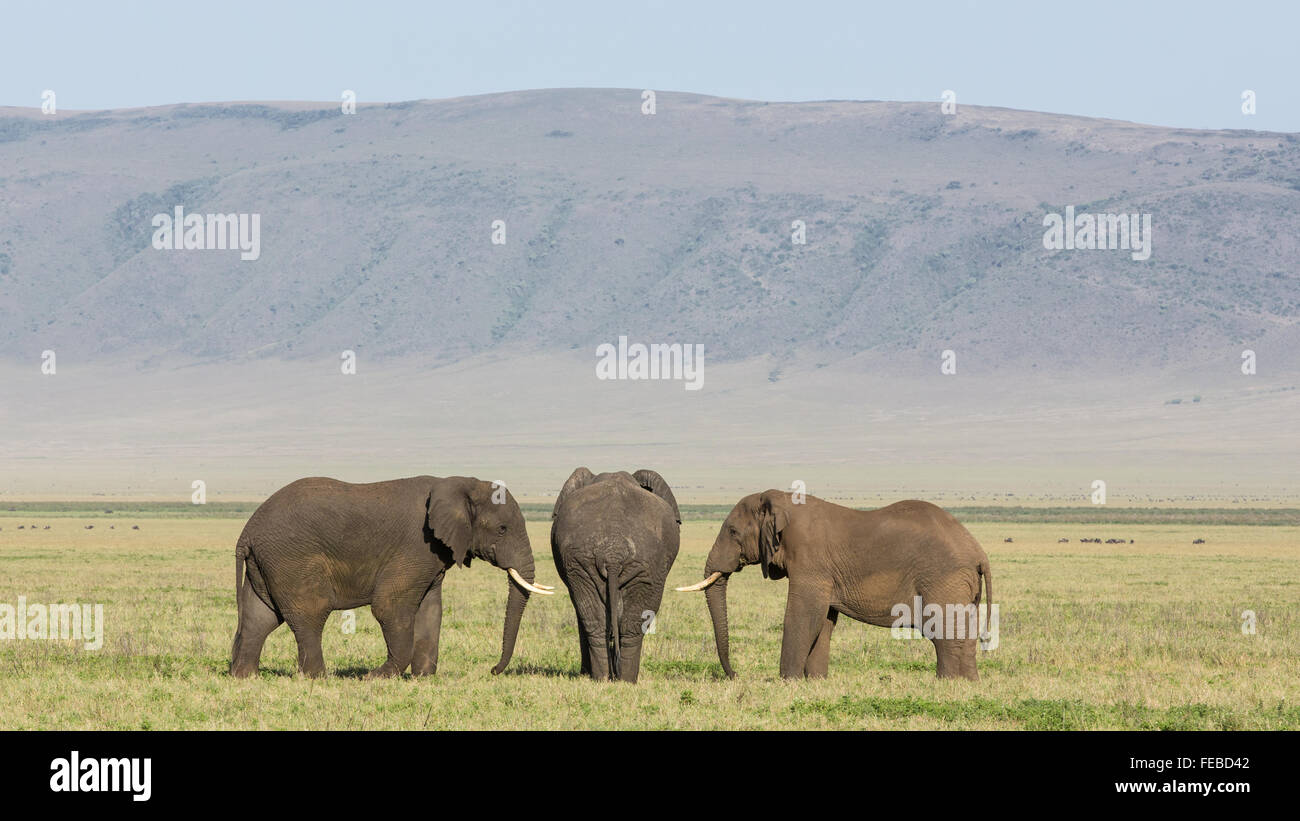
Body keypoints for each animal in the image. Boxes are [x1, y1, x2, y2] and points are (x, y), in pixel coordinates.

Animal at [230, 475, 553, 680]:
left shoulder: (432, 555)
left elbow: (431, 609)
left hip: (268, 563)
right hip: (291, 559)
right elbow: (390, 605)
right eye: (502, 529)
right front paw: (377, 678)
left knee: (260, 617)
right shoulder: (416, 544)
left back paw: (246, 676)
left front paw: (424, 677)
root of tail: (247, 531)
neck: (460, 483)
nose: (493, 670)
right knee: (309, 613)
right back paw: (319, 678)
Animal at [551, 465, 686, 680]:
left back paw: (612, 679)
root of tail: (613, 553)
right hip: (595, 564)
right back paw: (619, 679)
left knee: (606, 622)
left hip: (640, 565)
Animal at [676, 493, 987, 680]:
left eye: (732, 531)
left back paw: (946, 683)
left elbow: (803, 616)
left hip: (942, 579)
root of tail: (977, 551)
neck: (780, 500)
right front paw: (815, 682)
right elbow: (823, 621)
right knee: (964, 632)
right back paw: (968, 684)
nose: (734, 675)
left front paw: (787, 682)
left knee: (942, 631)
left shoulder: (810, 561)